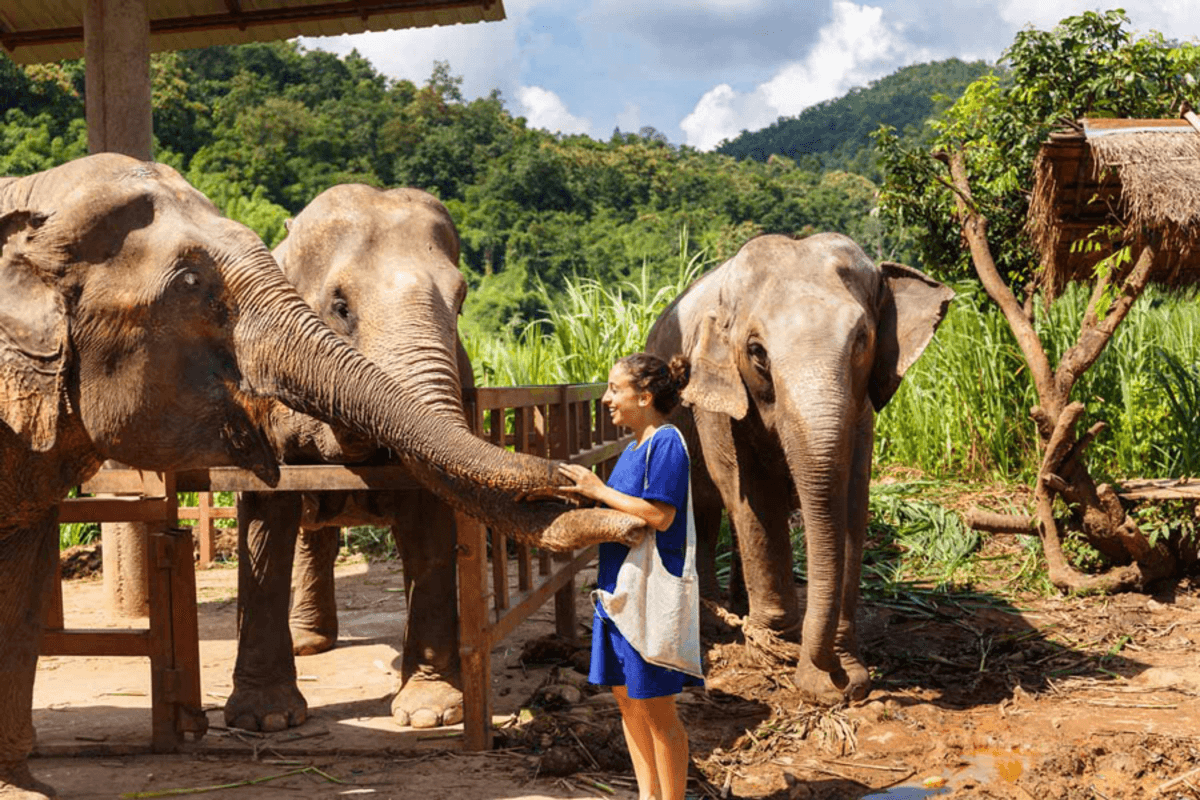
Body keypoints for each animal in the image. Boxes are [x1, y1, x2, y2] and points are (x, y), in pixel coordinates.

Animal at [226, 184, 475, 732]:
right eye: (339, 306)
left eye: (462, 300)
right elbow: (265, 522)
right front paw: (266, 720)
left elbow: (430, 521)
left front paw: (429, 715)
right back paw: (309, 643)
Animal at [646, 232, 953, 705]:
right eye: (756, 352)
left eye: (861, 339)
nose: (836, 684)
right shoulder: (717, 401)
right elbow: (751, 495)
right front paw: (777, 653)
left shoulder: (860, 410)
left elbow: (851, 500)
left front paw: (842, 669)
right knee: (706, 504)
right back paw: (714, 617)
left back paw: (738, 608)